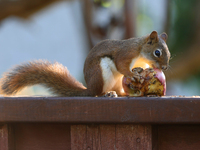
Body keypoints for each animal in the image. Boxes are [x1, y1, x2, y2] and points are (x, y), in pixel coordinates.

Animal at [0, 30, 170, 96]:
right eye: (157, 52)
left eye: (168, 52)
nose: (164, 67)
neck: (141, 52)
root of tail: (89, 88)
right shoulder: (125, 53)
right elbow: (122, 65)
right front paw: (133, 75)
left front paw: (141, 71)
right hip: (101, 74)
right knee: (97, 93)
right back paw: (106, 94)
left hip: (114, 82)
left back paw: (120, 93)